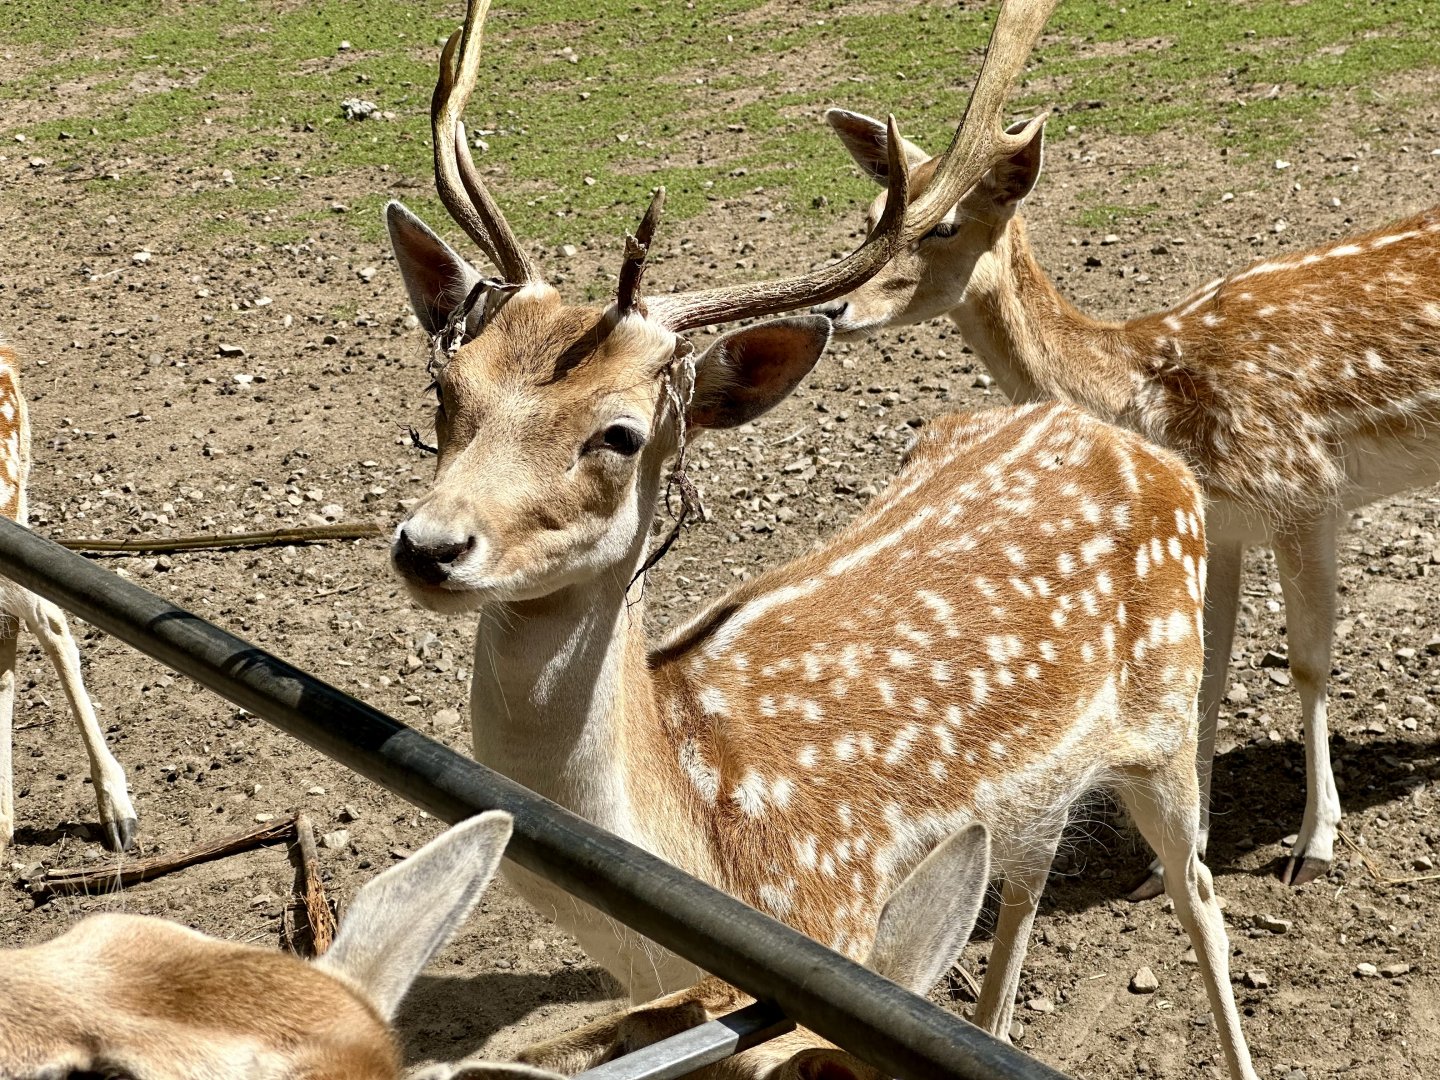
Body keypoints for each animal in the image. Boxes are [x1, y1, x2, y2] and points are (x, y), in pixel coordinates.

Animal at [380, 3, 1259, 1077]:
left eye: (619, 434)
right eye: (446, 386)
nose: (430, 545)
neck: (697, 859)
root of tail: (1131, 444)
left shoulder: (834, 948)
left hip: (1168, 720)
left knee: (1199, 894)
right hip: (1035, 797)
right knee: (1027, 880)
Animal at [814, 105, 1440, 897]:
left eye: (945, 226)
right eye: (870, 215)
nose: (836, 305)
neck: (1151, 395)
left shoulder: (1306, 492)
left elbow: (1308, 664)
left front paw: (1313, 844)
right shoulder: (1220, 524)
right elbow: (1208, 675)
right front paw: (1172, 855)